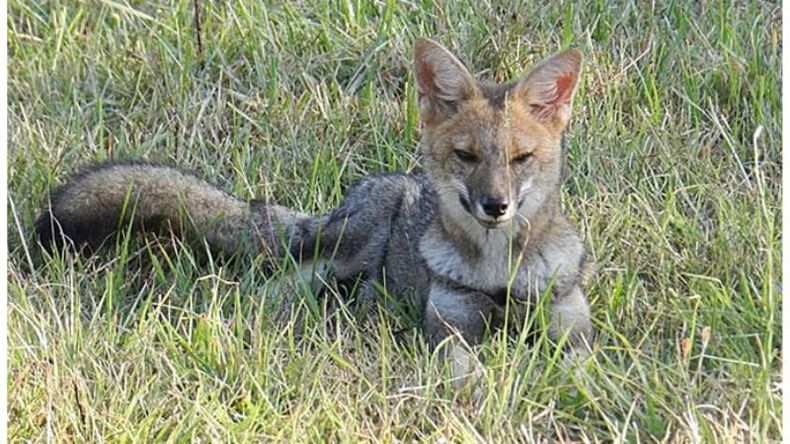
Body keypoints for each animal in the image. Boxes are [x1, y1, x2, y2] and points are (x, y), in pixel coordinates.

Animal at [35, 38, 593, 382]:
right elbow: (466, 373)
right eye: (467, 156)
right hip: (343, 250)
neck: (499, 274)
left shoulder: (570, 327)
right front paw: (480, 394)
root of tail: (369, 188)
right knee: (281, 278)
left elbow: (584, 371)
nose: (495, 206)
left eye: (520, 158)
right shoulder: (450, 327)